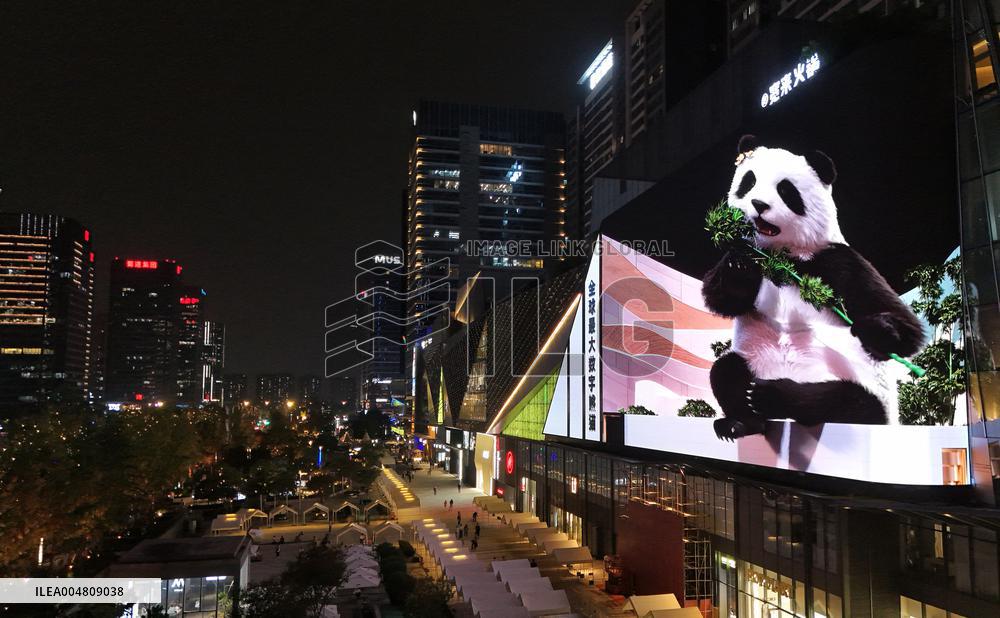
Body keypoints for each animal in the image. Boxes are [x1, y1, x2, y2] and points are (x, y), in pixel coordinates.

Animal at [702, 135, 925, 441]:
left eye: (786, 190)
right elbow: (723, 297)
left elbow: (904, 325)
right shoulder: (752, 257)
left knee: (845, 402)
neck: (781, 256)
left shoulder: (836, 260)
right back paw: (741, 421)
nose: (758, 204)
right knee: (726, 372)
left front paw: (874, 329)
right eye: (749, 181)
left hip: (861, 390)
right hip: (753, 360)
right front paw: (738, 266)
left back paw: (771, 395)